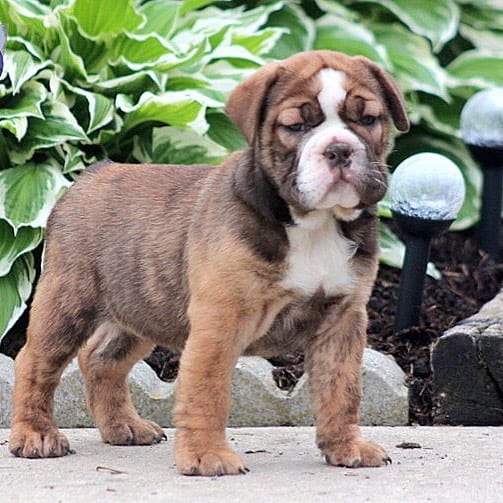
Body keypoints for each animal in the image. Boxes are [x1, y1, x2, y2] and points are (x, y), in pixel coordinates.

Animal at [8, 50, 410, 476]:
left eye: (368, 119)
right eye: (296, 126)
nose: (339, 150)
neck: (313, 222)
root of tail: (94, 172)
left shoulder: (342, 321)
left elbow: (342, 389)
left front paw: (345, 446)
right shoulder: (221, 319)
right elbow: (207, 389)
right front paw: (206, 455)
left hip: (140, 307)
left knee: (101, 360)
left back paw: (123, 426)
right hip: (67, 303)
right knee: (35, 362)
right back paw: (35, 434)